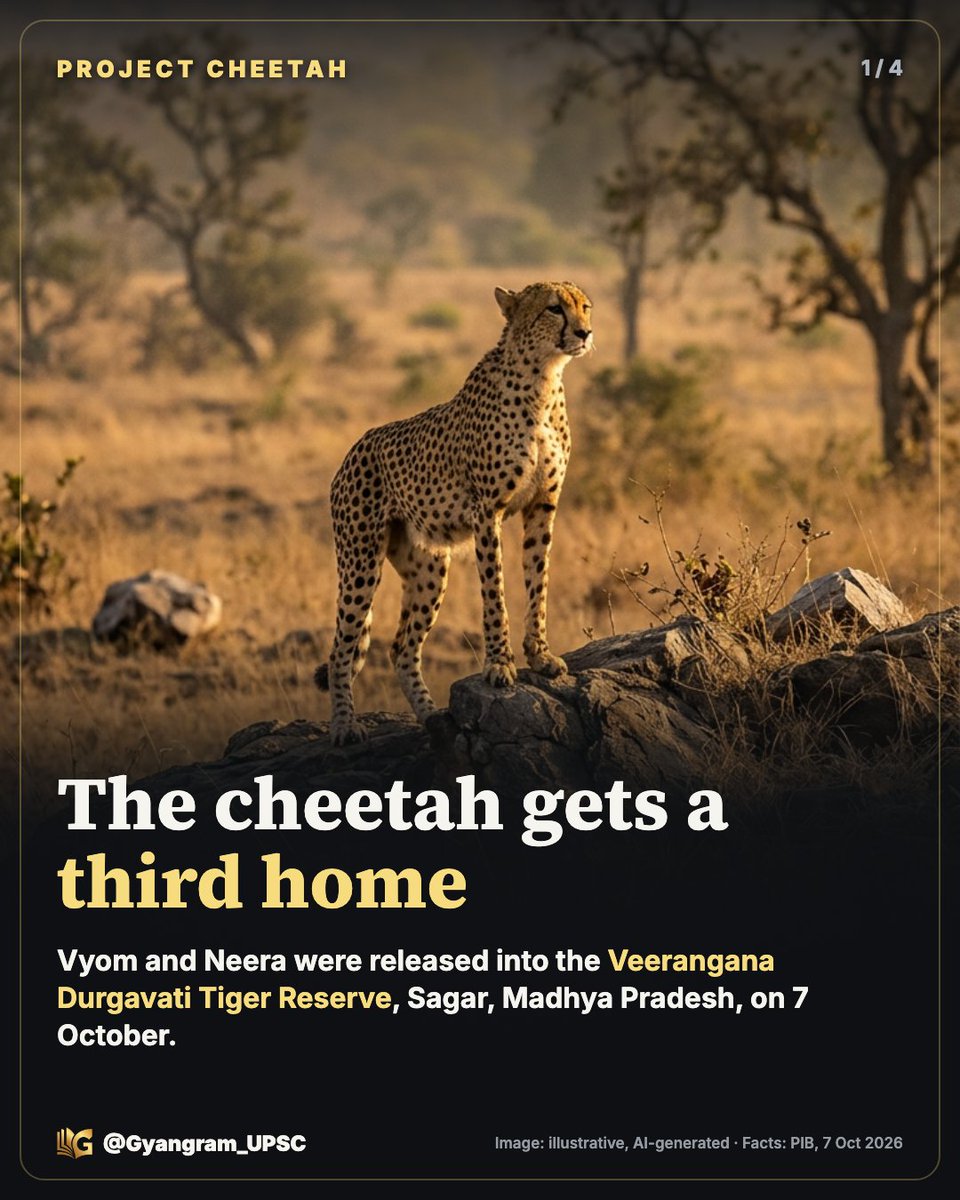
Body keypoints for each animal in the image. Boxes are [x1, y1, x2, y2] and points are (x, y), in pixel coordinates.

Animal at [315, 280, 593, 745]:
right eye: (554, 309)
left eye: (585, 307)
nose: (585, 333)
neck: (543, 378)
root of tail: (355, 449)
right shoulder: (488, 511)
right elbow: (495, 592)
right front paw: (500, 665)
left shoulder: (543, 506)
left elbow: (538, 584)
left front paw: (541, 656)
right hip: (360, 559)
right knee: (342, 649)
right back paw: (344, 726)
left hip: (428, 568)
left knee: (402, 647)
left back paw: (432, 717)